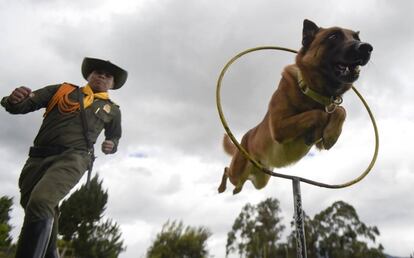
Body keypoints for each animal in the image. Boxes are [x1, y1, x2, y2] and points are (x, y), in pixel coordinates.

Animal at [218, 19, 374, 194]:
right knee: (227, 170)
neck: (314, 93)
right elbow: (317, 114)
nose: (366, 47)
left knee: (241, 181)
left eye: (356, 37)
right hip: (238, 171)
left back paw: (237, 189)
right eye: (333, 36)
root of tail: (246, 137)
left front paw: (331, 133)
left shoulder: (320, 140)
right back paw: (222, 187)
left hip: (260, 180)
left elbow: (340, 110)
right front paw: (318, 128)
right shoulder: (279, 127)